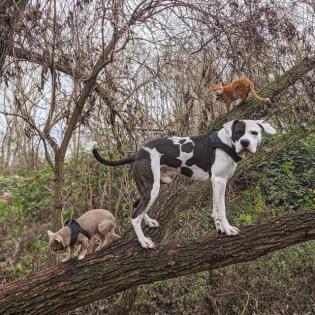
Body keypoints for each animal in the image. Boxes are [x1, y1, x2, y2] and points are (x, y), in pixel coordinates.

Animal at [93, 119, 276, 249]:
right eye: (238, 132)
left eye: (254, 133)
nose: (245, 143)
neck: (226, 143)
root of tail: (138, 154)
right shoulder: (219, 181)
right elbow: (222, 210)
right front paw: (228, 228)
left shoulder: (216, 183)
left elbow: (215, 209)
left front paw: (219, 227)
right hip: (153, 188)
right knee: (135, 216)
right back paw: (144, 241)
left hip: (149, 187)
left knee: (136, 203)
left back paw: (149, 221)